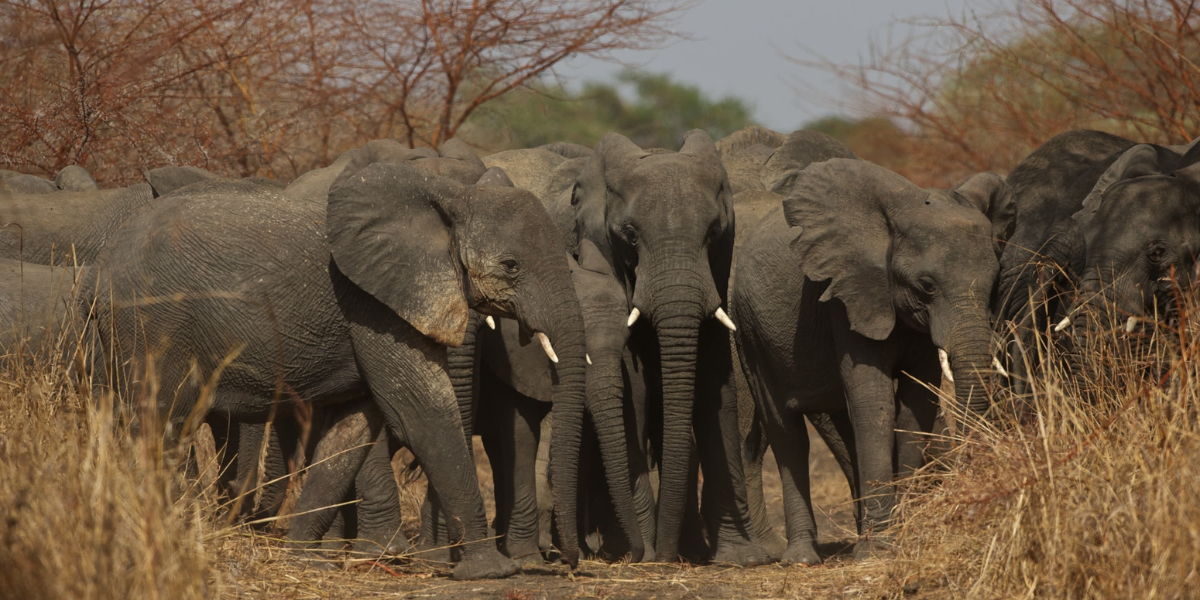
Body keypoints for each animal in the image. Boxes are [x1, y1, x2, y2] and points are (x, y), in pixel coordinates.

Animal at [87, 152, 588, 578]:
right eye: (511, 266)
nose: (566, 561)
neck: (451, 200)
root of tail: (108, 257)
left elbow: (354, 427)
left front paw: (305, 561)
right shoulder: (373, 305)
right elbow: (419, 411)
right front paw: (491, 570)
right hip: (152, 324)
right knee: (161, 422)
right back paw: (166, 531)